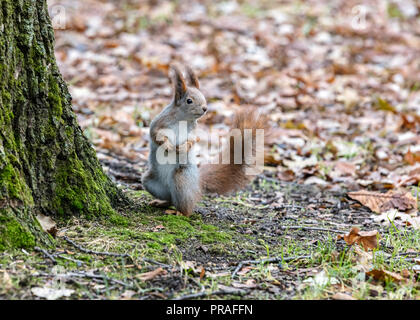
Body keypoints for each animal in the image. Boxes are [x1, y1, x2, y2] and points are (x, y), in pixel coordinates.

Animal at [142, 65, 270, 216]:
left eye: (204, 97)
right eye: (189, 100)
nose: (205, 108)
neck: (182, 119)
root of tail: (197, 184)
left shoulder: (193, 131)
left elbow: (193, 140)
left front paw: (183, 147)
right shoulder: (159, 123)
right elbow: (156, 135)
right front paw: (168, 145)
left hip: (181, 178)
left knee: (186, 207)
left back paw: (179, 212)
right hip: (150, 182)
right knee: (170, 199)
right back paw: (161, 202)